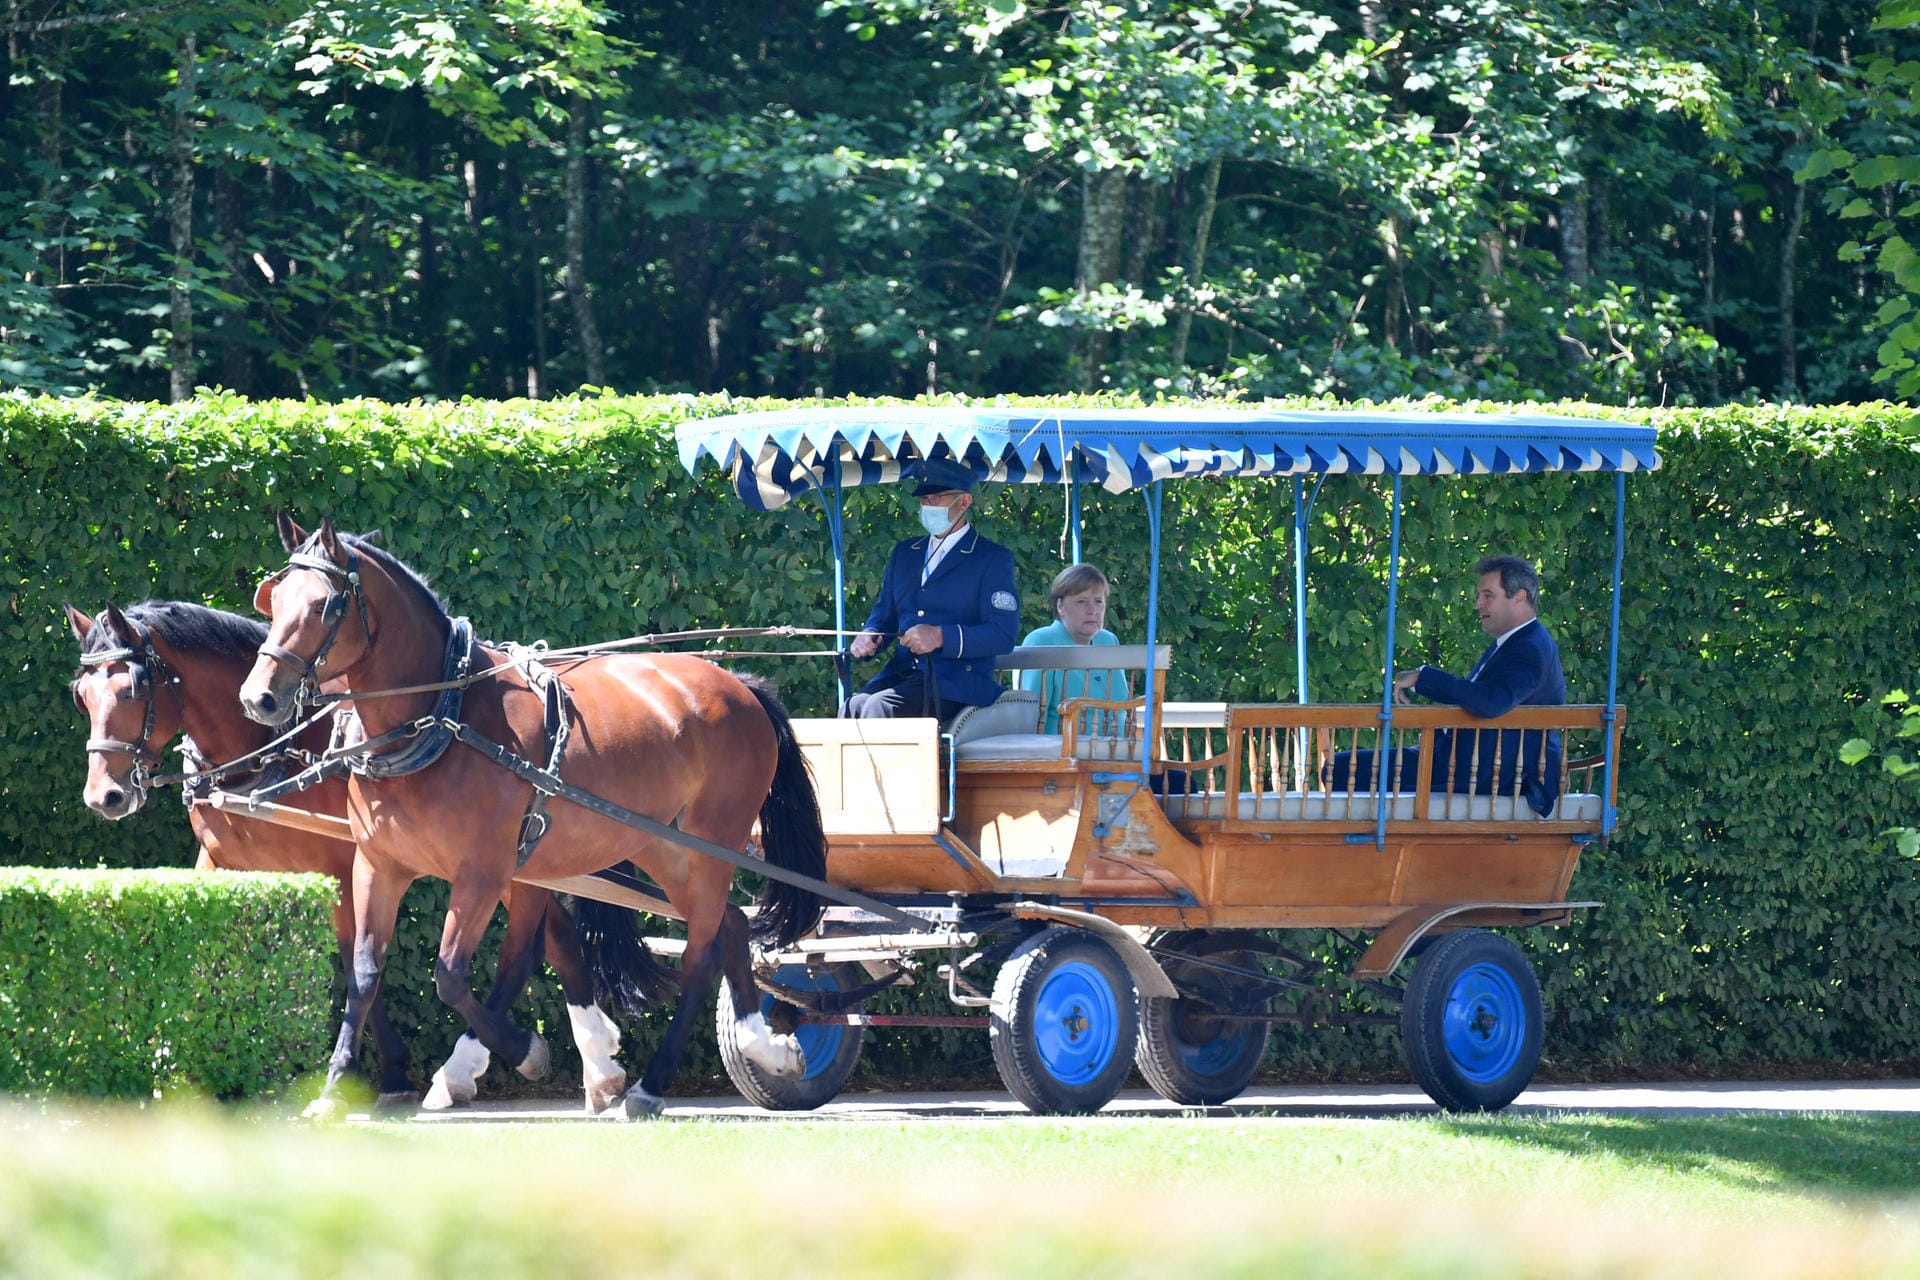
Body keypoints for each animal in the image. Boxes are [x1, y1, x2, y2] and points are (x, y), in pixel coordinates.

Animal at [71, 602, 633, 1113]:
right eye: (82, 696)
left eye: (132, 690)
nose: (104, 797)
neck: (273, 748)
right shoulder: (218, 863)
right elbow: (197, 942)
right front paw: (171, 1062)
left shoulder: (344, 868)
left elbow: (355, 961)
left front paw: (386, 1073)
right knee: (557, 935)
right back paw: (592, 1063)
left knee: (536, 942)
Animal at [238, 514, 825, 1113]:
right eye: (274, 598)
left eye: (324, 605)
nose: (258, 698)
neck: (443, 718)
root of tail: (739, 686)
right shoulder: (378, 866)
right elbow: (364, 973)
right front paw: (336, 1086)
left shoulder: (484, 871)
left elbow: (455, 973)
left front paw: (524, 1051)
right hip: (665, 848)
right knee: (730, 925)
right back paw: (762, 1044)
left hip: (709, 844)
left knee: (701, 956)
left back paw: (652, 1083)